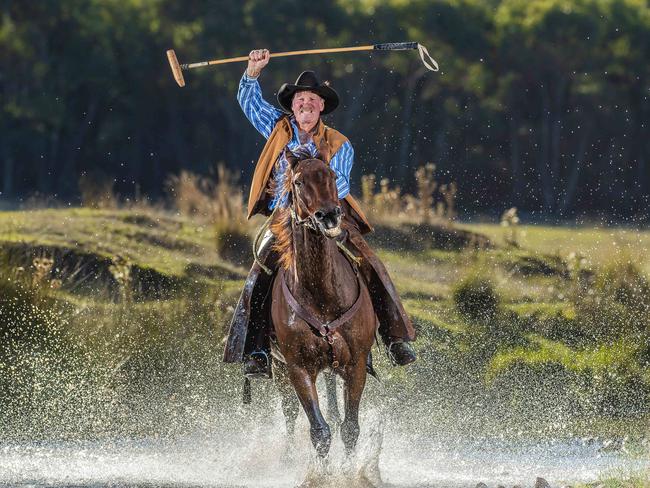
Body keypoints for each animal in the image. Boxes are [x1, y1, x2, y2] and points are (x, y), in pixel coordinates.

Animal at [268, 148, 374, 458]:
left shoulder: (356, 365)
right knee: (290, 413)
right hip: (280, 369)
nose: (328, 215)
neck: (322, 295)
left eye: (332, 175)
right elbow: (320, 431)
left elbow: (350, 429)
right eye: (299, 182)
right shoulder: (298, 368)